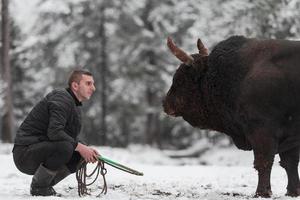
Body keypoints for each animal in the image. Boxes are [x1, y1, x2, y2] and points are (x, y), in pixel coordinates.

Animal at [163, 36, 300, 197]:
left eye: (180, 79)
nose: (165, 103)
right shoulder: (289, 137)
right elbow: (290, 164)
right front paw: (292, 192)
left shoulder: (262, 131)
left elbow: (263, 163)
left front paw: (261, 193)